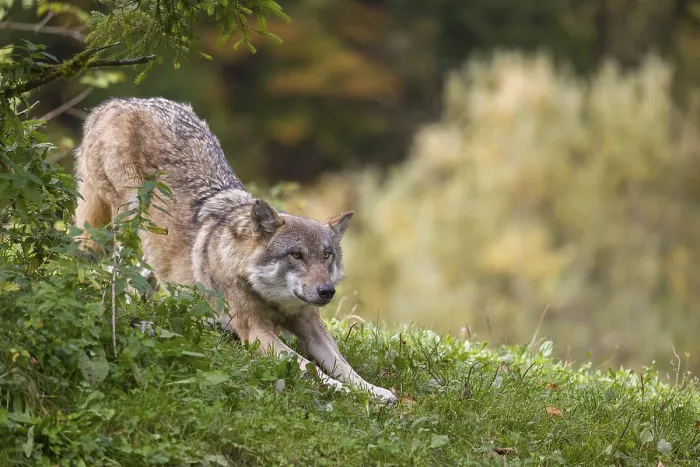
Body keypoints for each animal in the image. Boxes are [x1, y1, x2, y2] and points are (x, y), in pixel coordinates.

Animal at [73, 97, 397, 404]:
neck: (268, 295)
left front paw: (376, 392)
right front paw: (341, 390)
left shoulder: (311, 324)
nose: (327, 291)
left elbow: (344, 365)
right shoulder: (255, 331)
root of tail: (115, 103)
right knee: (118, 273)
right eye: (296, 254)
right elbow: (309, 368)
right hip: (128, 223)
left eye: (326, 256)